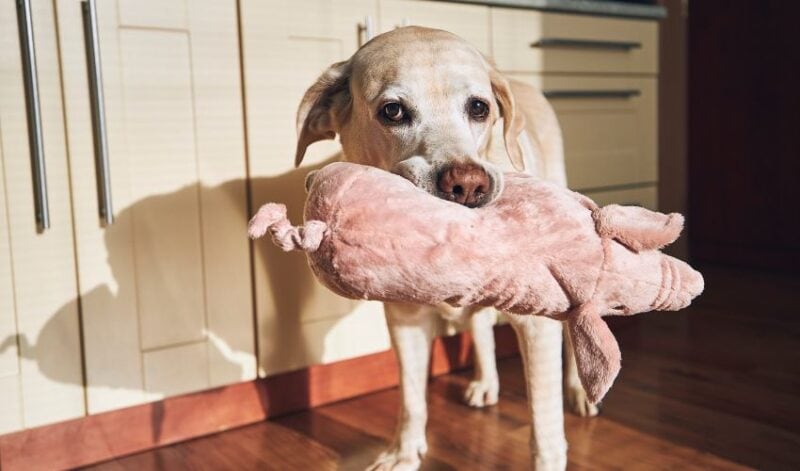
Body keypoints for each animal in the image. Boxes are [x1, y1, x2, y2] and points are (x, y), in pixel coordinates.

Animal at [292, 26, 592, 471]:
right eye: (393, 111)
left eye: (479, 108)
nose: (467, 184)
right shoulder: (405, 319)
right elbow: (412, 398)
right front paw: (402, 453)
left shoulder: (536, 325)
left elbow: (544, 424)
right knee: (480, 325)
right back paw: (485, 382)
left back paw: (581, 392)